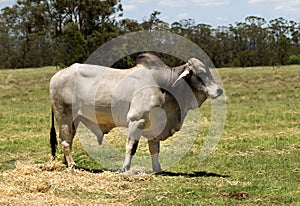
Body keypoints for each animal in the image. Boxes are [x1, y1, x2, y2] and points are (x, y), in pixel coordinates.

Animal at [49, 53, 223, 172]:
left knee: (68, 140)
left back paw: (67, 163)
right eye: (201, 73)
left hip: (74, 120)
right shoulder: (136, 121)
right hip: (64, 117)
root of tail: (57, 75)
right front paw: (125, 168)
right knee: (65, 141)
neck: (165, 87)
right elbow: (131, 147)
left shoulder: (156, 126)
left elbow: (155, 149)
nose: (219, 90)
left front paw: (157, 169)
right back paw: (72, 164)